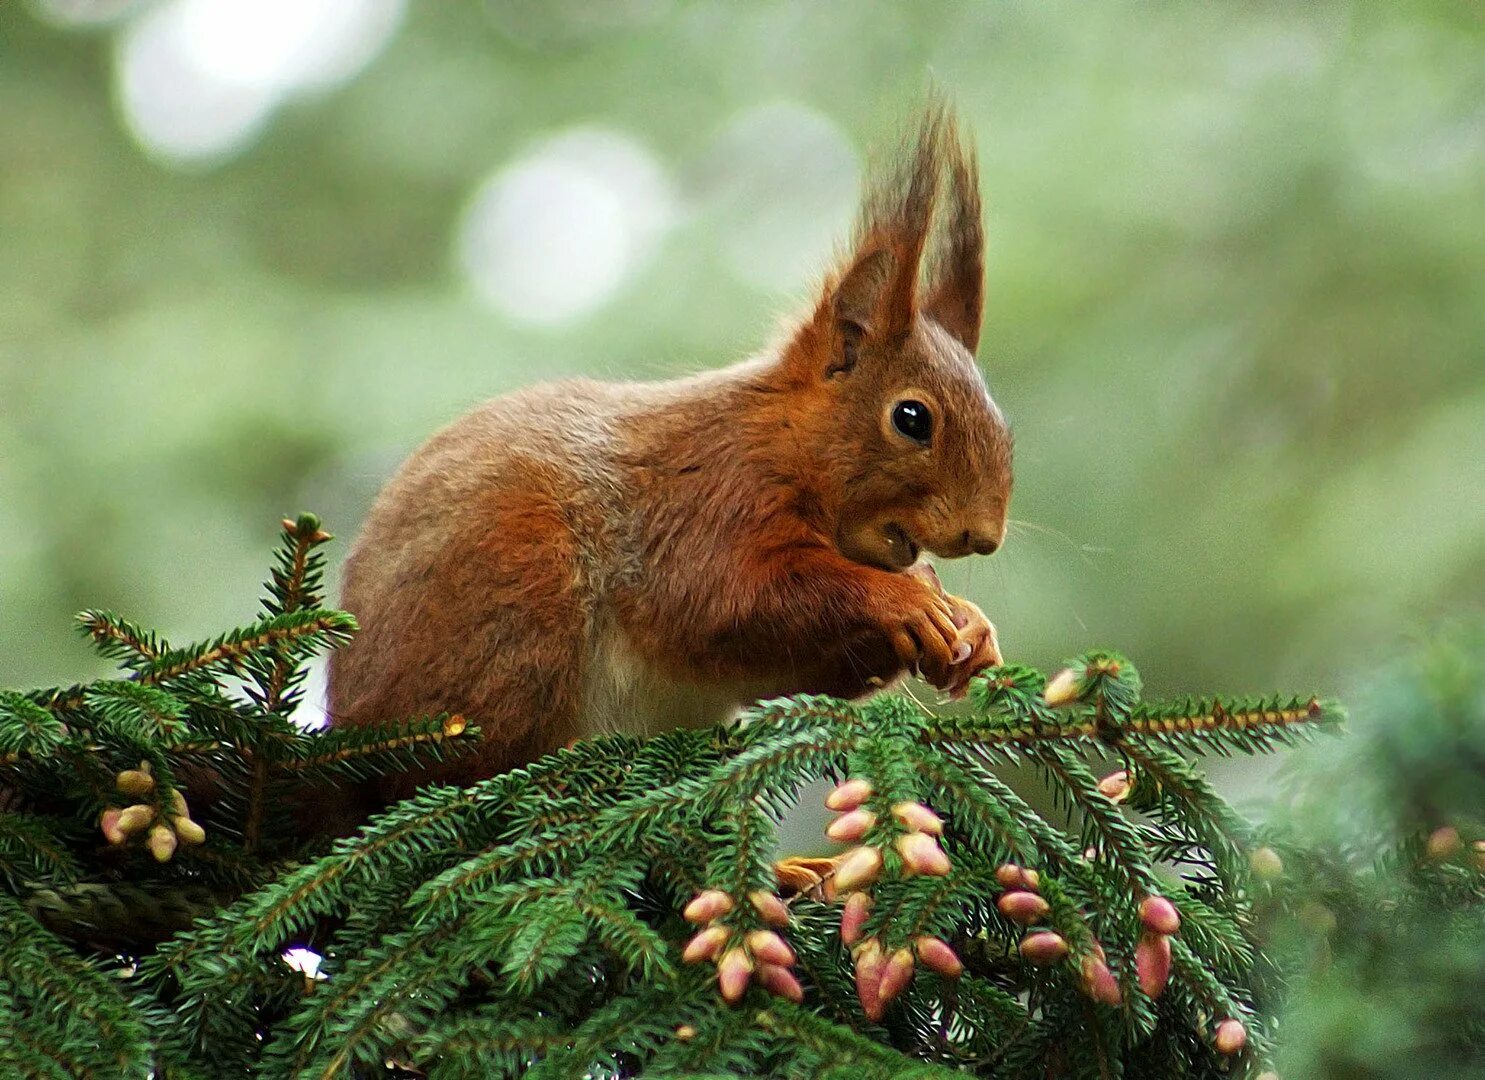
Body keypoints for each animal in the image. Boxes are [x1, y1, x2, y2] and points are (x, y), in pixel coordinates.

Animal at [328, 107, 1009, 802]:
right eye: (912, 419)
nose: (984, 536)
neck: (785, 446)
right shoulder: (708, 498)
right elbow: (722, 598)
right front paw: (904, 600)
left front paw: (972, 625)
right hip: (515, 597)